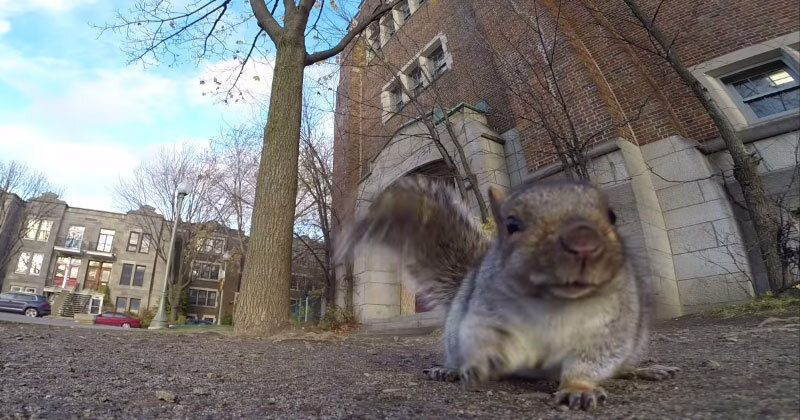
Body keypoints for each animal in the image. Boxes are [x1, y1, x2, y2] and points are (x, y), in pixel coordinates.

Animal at [336, 176, 678, 410]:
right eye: (512, 224)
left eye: (612, 216)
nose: (583, 243)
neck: (555, 304)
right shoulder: (486, 315)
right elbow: (489, 340)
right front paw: (479, 365)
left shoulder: (610, 326)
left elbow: (593, 359)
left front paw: (579, 388)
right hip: (454, 331)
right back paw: (449, 369)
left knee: (621, 366)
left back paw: (646, 370)